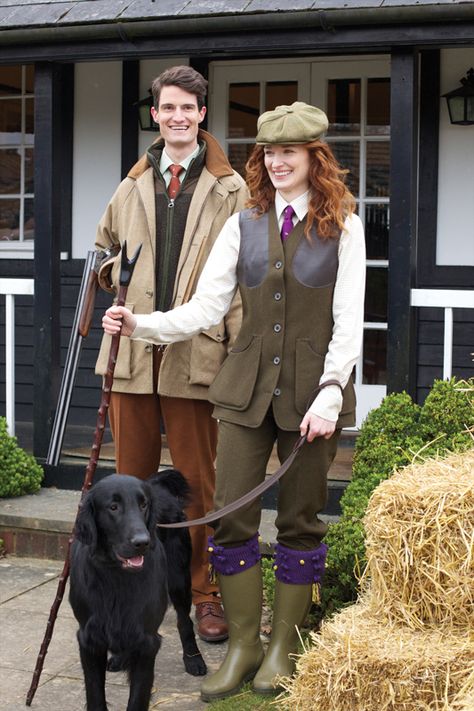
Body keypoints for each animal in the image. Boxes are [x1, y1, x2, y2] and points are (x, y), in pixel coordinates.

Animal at [69, 472, 206, 711]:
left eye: (143, 505)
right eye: (113, 507)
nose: (143, 542)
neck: (116, 577)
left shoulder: (147, 642)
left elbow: (138, 697)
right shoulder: (89, 638)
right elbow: (95, 694)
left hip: (179, 580)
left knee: (185, 622)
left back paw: (193, 659)